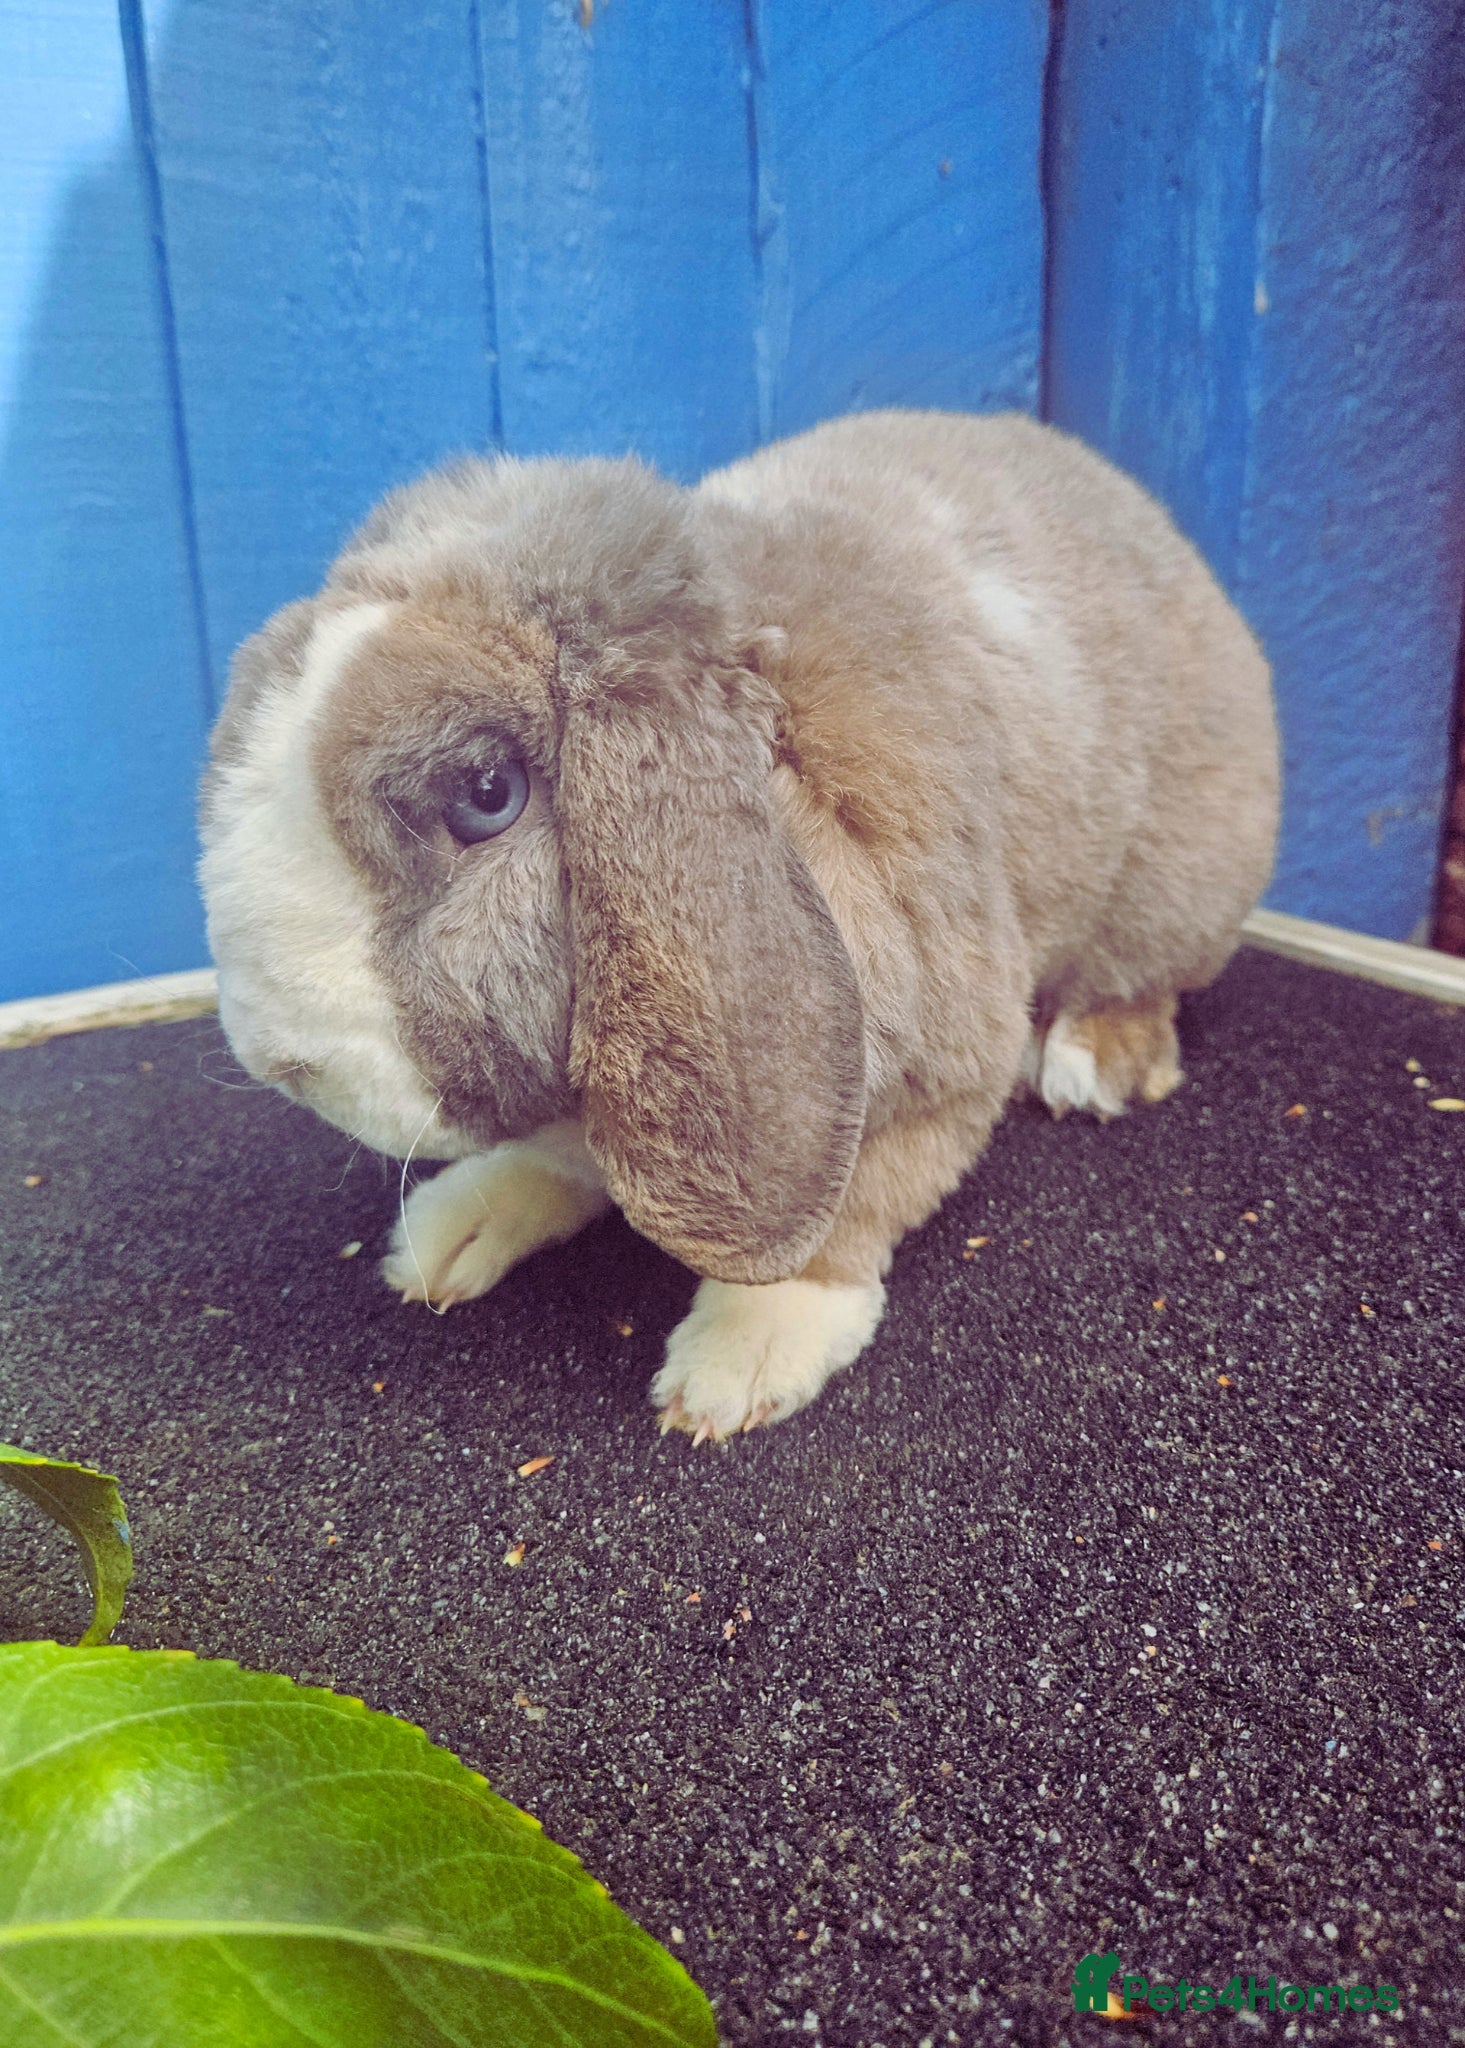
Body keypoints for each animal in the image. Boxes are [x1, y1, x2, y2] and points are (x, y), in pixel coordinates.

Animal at [199, 409, 1279, 1442]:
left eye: (486, 794)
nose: (280, 1061)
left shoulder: (933, 1068)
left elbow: (847, 1213)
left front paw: (740, 1361)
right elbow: (557, 1158)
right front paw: (450, 1228)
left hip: (1177, 881)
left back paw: (1090, 1059)